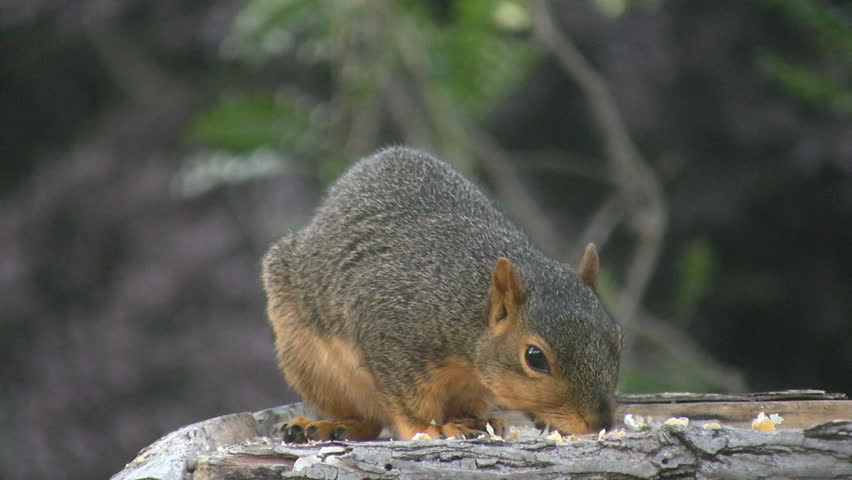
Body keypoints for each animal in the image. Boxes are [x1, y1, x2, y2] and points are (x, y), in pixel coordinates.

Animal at [262, 147, 622, 441]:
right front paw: (426, 428)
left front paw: (472, 421)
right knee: (366, 420)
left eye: (618, 340)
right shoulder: (390, 334)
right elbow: (408, 403)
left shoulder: (472, 384)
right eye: (534, 358)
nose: (601, 421)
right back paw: (330, 425)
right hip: (308, 360)